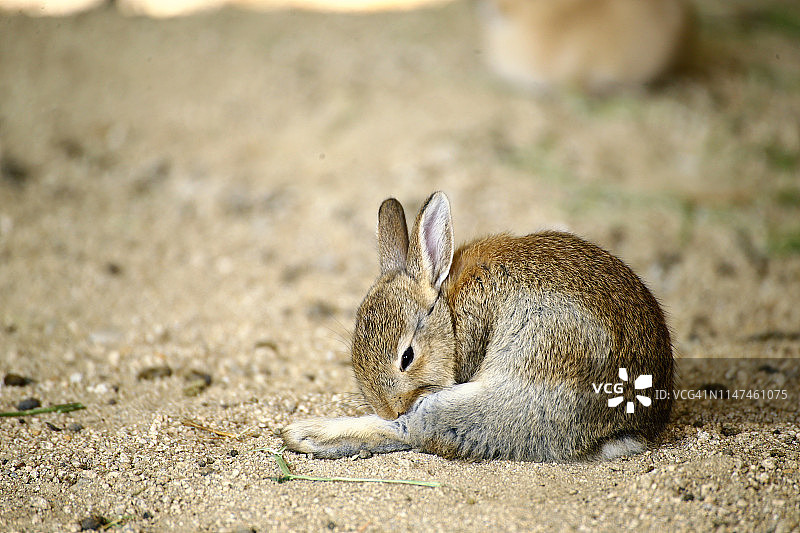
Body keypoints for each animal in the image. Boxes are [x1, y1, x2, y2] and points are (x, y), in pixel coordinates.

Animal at [284, 192, 672, 462]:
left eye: (407, 357)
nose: (389, 408)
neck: (447, 309)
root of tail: (628, 430)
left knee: (418, 430)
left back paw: (302, 434)